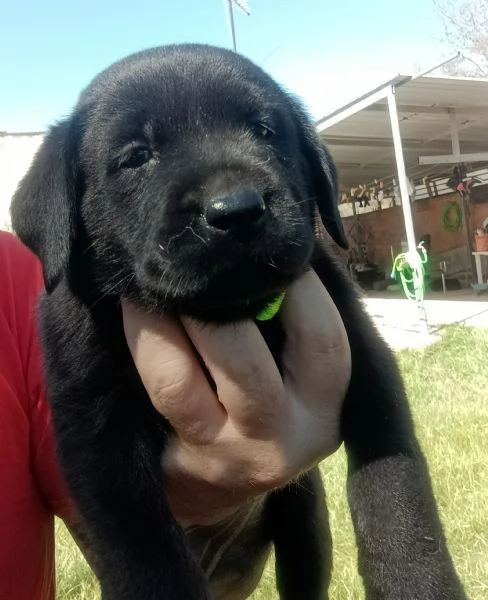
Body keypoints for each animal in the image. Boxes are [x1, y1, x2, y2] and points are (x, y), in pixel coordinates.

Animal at [9, 44, 464, 596]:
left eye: (265, 131)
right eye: (136, 156)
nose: (237, 209)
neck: (229, 316)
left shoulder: (365, 358)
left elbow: (395, 490)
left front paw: (418, 582)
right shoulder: (97, 435)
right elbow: (146, 554)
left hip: (306, 520)